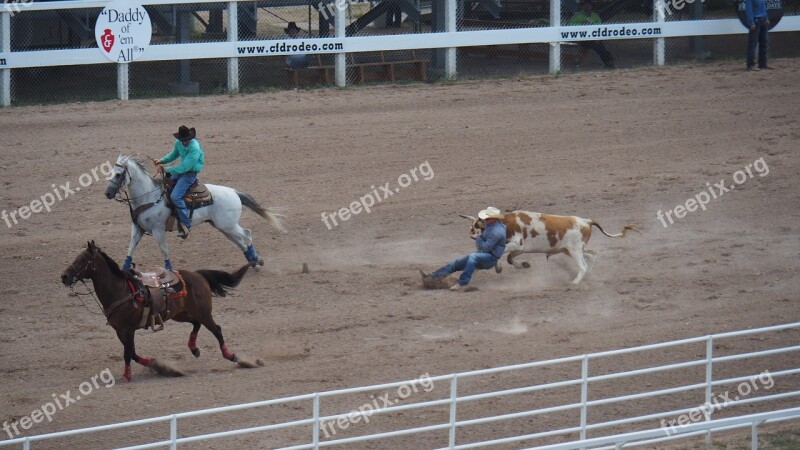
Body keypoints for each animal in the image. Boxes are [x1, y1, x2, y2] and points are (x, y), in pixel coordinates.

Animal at [62, 241, 256, 382]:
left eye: (83, 259)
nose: (64, 276)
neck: (119, 290)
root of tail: (198, 275)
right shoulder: (120, 331)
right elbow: (132, 353)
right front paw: (157, 365)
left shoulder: (128, 330)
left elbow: (128, 354)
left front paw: (127, 376)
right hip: (181, 314)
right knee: (196, 324)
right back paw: (194, 349)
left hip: (203, 312)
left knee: (217, 330)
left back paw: (231, 356)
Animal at [102, 155, 284, 270]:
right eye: (110, 173)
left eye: (118, 174)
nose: (108, 193)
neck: (149, 197)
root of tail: (233, 192)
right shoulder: (137, 229)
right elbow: (130, 249)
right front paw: (124, 270)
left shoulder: (158, 230)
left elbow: (164, 250)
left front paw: (169, 271)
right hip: (222, 226)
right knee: (239, 241)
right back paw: (253, 260)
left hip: (229, 225)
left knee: (246, 234)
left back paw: (256, 259)